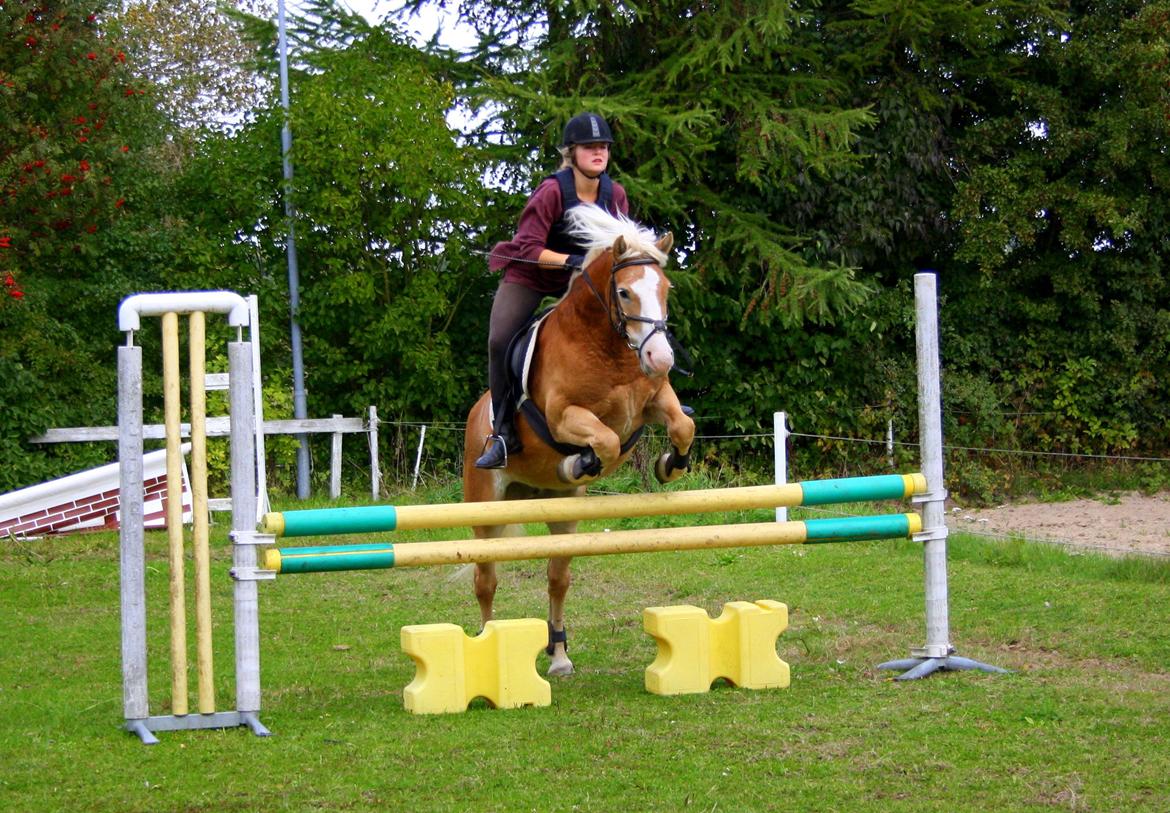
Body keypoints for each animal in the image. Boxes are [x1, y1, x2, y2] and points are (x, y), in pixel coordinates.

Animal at [458, 207, 692, 678]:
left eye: (665, 289)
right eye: (624, 292)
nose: (661, 358)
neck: (610, 349)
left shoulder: (655, 399)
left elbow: (682, 426)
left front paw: (669, 465)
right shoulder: (564, 416)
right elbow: (604, 440)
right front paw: (578, 463)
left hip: (561, 517)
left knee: (557, 577)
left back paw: (559, 653)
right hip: (486, 510)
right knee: (485, 581)